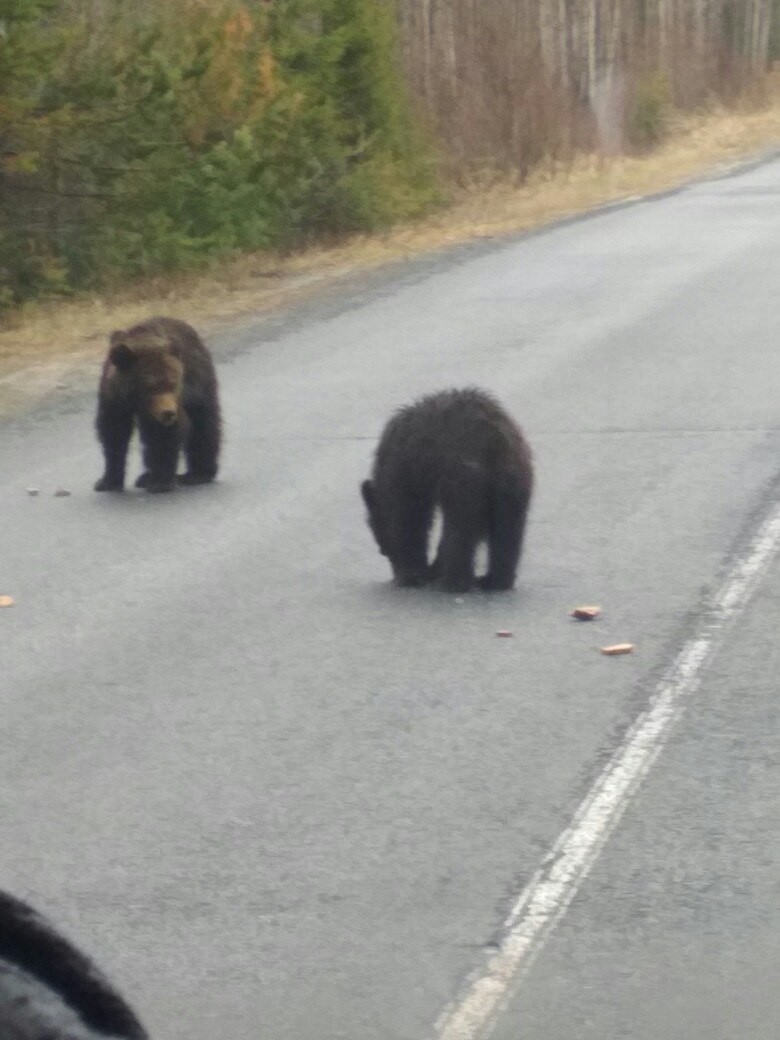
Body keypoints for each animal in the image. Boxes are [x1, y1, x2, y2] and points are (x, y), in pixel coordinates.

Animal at [96, 314, 222, 492]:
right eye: (151, 386)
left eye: (173, 384)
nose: (168, 412)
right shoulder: (114, 400)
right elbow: (114, 433)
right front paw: (107, 481)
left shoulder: (177, 400)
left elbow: (165, 436)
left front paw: (160, 482)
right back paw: (145, 476)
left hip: (200, 384)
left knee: (203, 424)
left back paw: (198, 473)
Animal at [361, 386, 536, 594]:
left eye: (374, 527)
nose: (383, 551)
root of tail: (494, 440)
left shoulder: (405, 471)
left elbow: (409, 519)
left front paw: (410, 574)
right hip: (514, 481)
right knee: (508, 526)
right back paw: (495, 580)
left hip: (462, 477)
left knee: (460, 526)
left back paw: (454, 581)